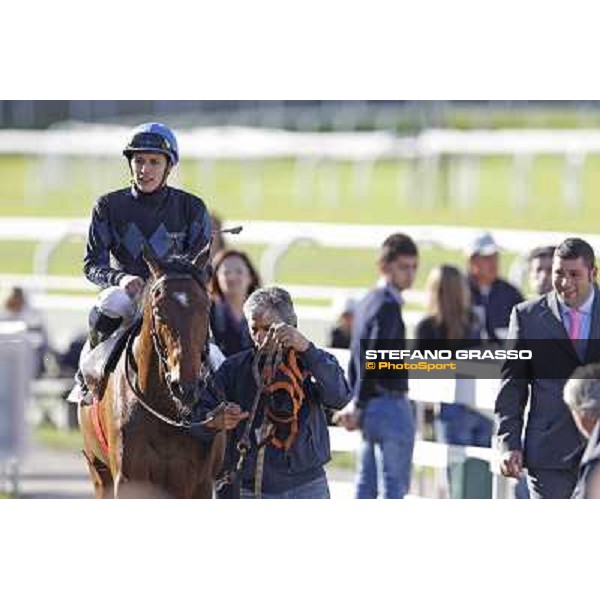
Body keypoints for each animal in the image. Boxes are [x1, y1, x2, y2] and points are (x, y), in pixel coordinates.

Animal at [78, 246, 226, 500]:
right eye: (158, 311)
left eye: (206, 307)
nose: (185, 387)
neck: (166, 413)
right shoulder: (127, 480)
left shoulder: (199, 484)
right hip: (97, 468)